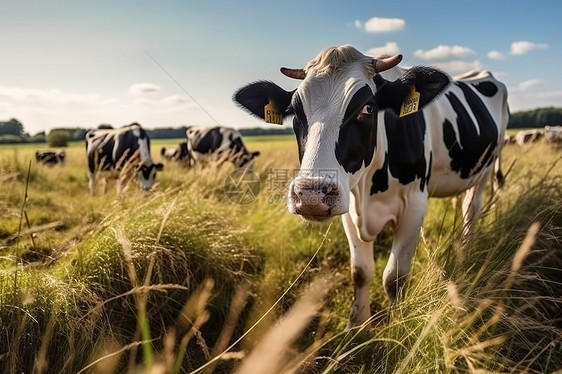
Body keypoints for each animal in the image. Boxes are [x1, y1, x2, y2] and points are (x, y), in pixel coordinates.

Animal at [232, 45, 508, 328]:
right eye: (296, 112)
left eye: (368, 109)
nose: (310, 195)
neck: (368, 191)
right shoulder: (349, 207)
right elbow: (361, 271)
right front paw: (356, 325)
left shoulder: (414, 204)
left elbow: (394, 277)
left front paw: (396, 323)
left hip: (486, 168)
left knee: (471, 208)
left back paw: (466, 249)